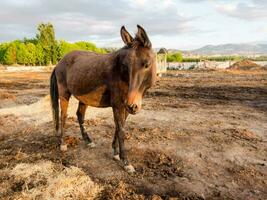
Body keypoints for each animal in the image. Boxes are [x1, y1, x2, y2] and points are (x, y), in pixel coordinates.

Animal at [49, 24, 157, 172]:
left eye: (147, 64)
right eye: (125, 66)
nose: (133, 105)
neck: (120, 74)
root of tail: (59, 63)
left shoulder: (124, 107)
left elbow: (119, 127)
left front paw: (116, 153)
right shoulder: (118, 105)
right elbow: (121, 130)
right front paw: (125, 161)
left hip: (84, 98)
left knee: (80, 116)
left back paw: (88, 141)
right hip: (64, 94)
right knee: (63, 116)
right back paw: (63, 144)